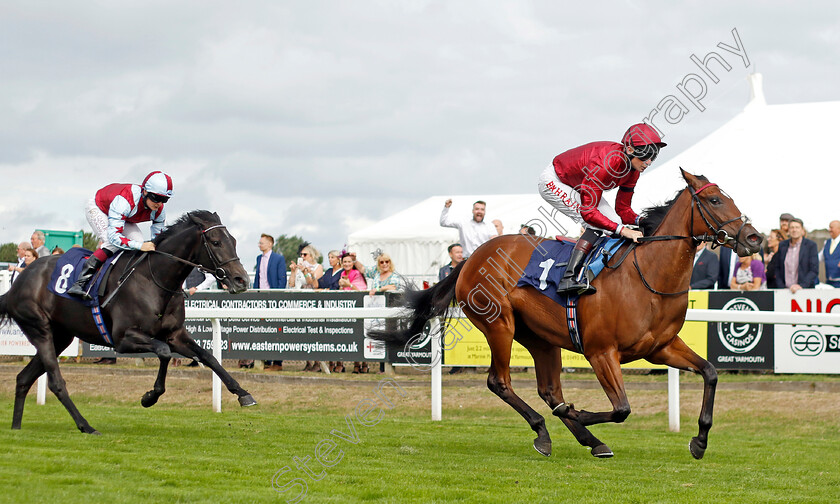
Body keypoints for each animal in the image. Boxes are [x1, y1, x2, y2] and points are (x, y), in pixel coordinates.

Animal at [0, 209, 256, 434]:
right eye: (215, 242)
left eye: (233, 240)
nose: (241, 280)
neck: (154, 279)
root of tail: (16, 284)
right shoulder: (123, 339)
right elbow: (164, 352)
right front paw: (149, 397)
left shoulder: (175, 334)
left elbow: (207, 357)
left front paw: (243, 394)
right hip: (39, 328)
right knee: (55, 382)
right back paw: (86, 426)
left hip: (61, 336)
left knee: (23, 378)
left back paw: (16, 427)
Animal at [374, 169, 760, 456]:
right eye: (714, 200)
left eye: (730, 198)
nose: (754, 238)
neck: (647, 276)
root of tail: (470, 257)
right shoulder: (601, 351)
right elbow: (622, 409)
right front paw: (581, 413)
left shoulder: (659, 347)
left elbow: (710, 372)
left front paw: (700, 440)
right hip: (499, 325)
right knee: (500, 381)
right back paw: (546, 432)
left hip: (540, 337)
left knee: (549, 391)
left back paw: (589, 440)